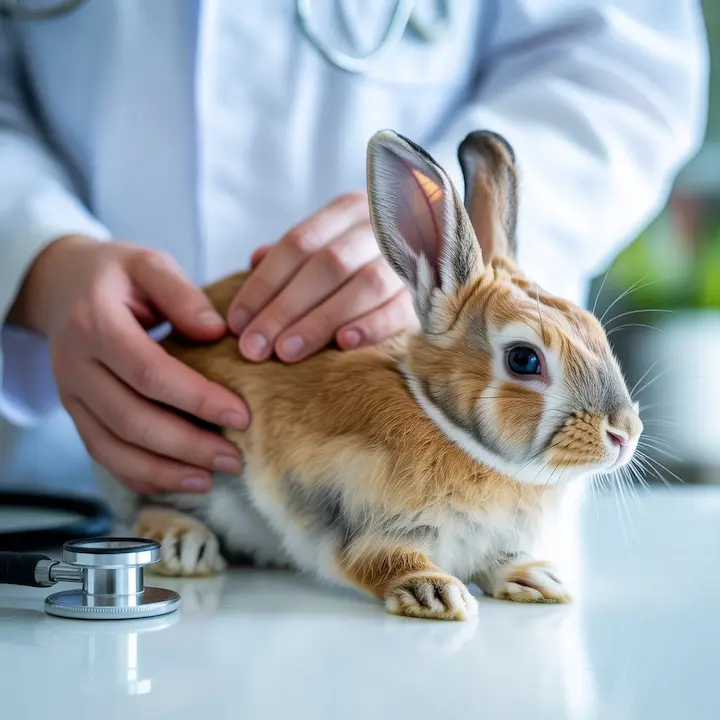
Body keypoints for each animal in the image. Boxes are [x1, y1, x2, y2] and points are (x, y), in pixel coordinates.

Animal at [97, 128, 643, 621]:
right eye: (524, 360)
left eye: (593, 329)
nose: (624, 434)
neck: (446, 426)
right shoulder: (362, 522)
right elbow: (380, 560)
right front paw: (436, 594)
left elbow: (499, 562)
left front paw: (539, 580)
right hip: (186, 469)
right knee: (143, 507)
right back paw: (186, 545)